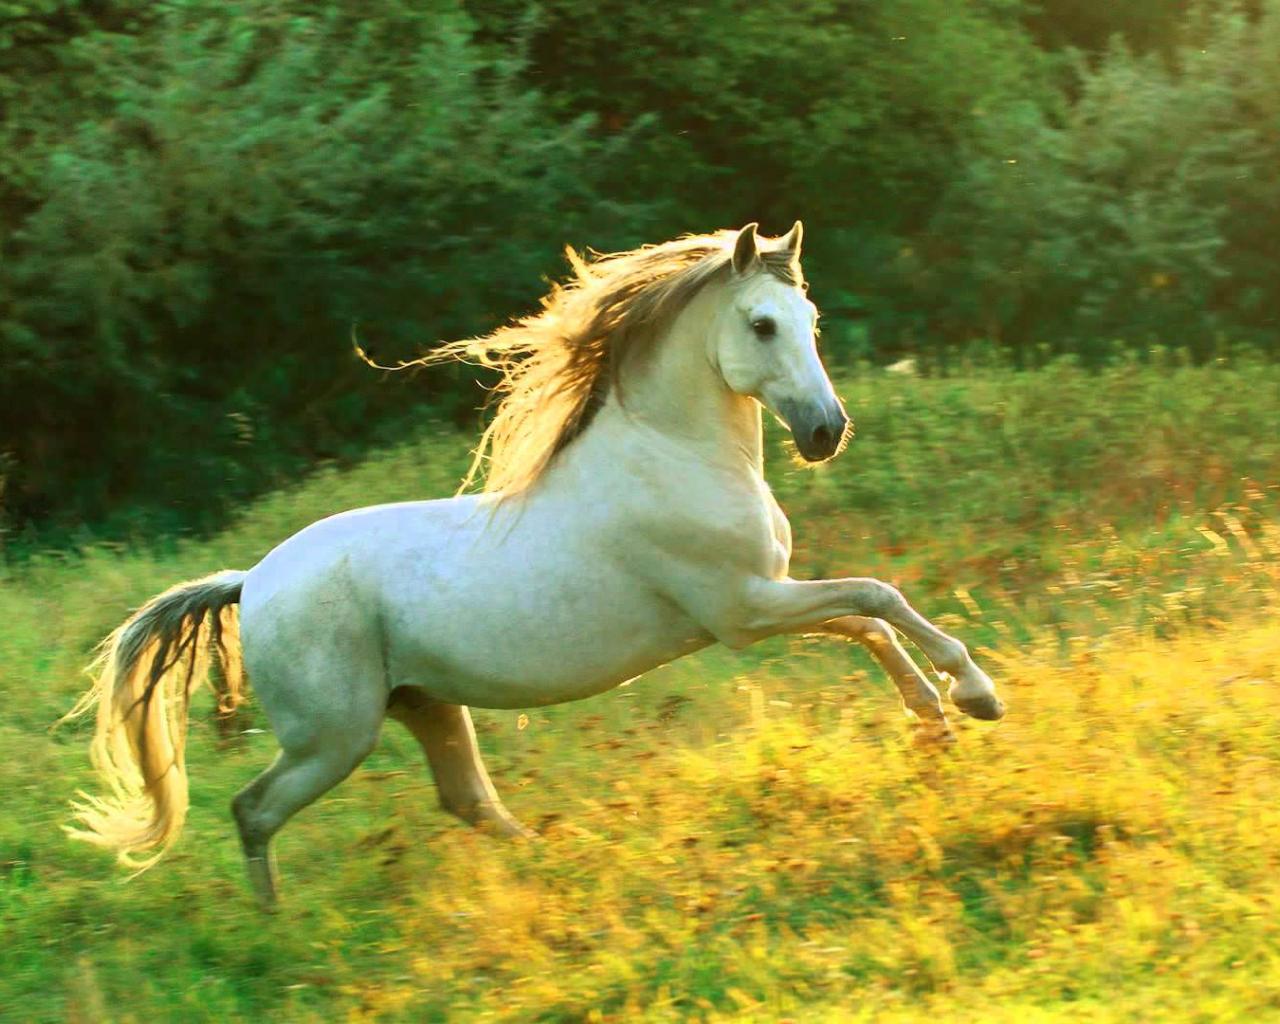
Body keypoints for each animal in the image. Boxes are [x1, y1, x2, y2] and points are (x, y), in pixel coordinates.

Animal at [65, 222, 1004, 909]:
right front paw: (975, 695)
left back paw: (561, 865)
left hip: (424, 705)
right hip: (333, 736)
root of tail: (249, 582)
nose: (825, 432)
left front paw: (936, 721)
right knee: (254, 809)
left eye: (810, 323)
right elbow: (878, 598)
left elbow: (869, 621)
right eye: (762, 324)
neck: (673, 456)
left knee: (466, 801)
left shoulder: (761, 602)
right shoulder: (744, 610)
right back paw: (277, 926)